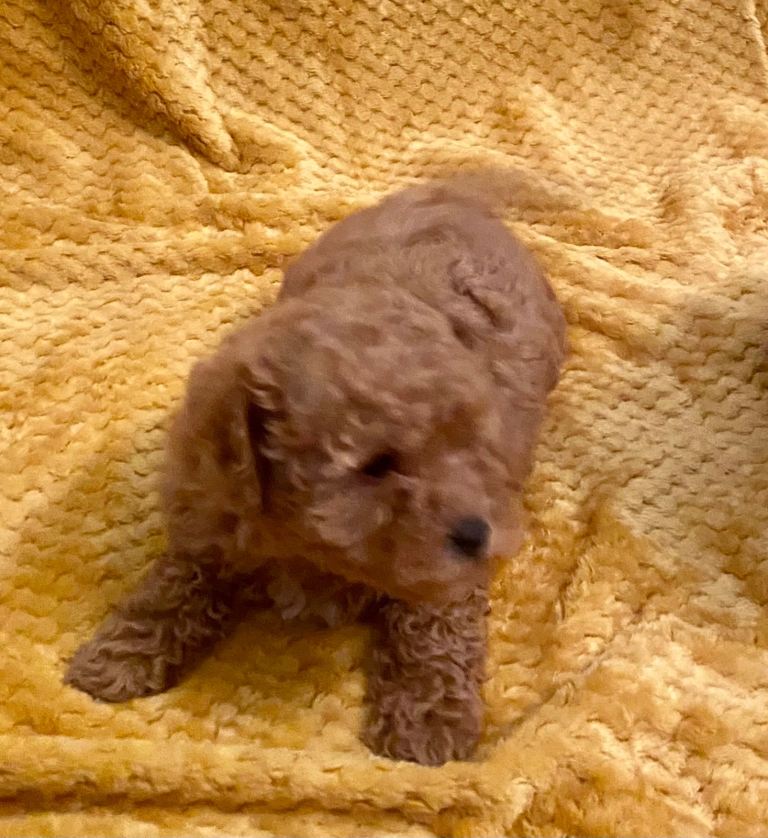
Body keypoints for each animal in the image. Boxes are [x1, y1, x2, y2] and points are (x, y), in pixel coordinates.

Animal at [65, 173, 567, 765]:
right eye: (376, 466)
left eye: (468, 438)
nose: (478, 534)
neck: (307, 544)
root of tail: (457, 199)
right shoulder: (215, 513)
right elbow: (176, 583)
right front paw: (119, 656)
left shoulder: (449, 573)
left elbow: (432, 629)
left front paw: (427, 723)